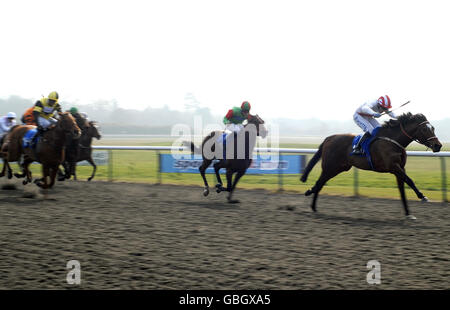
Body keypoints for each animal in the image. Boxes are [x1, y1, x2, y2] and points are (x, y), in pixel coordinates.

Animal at [300, 112, 442, 219]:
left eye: (433, 128)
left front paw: (408, 214)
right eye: (424, 129)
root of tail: (329, 138)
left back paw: (313, 203)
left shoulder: (400, 168)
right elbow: (410, 180)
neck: (393, 141)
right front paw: (422, 196)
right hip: (330, 167)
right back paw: (310, 198)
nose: (438, 146)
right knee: (319, 183)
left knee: (321, 183)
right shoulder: (394, 167)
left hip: (340, 167)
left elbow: (402, 190)